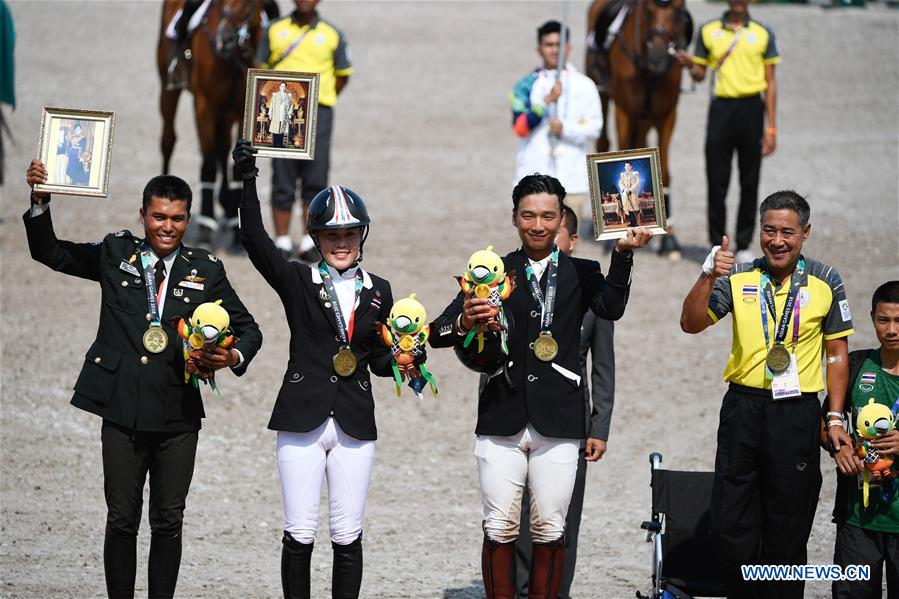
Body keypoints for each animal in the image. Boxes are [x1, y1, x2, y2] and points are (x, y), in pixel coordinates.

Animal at [157, 0, 268, 248]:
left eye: (250, 3)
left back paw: (227, 210)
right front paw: (207, 227)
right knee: (169, 140)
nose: (224, 38)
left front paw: (236, 230)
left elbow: (233, 167)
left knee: (223, 148)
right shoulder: (205, 107)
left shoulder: (240, 110)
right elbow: (208, 163)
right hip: (169, 91)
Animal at [588, 0, 692, 253]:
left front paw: (669, 236)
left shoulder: (667, 115)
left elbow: (664, 169)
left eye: (678, 11)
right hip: (600, 92)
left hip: (645, 119)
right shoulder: (624, 112)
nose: (658, 57)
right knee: (603, 140)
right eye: (648, 11)